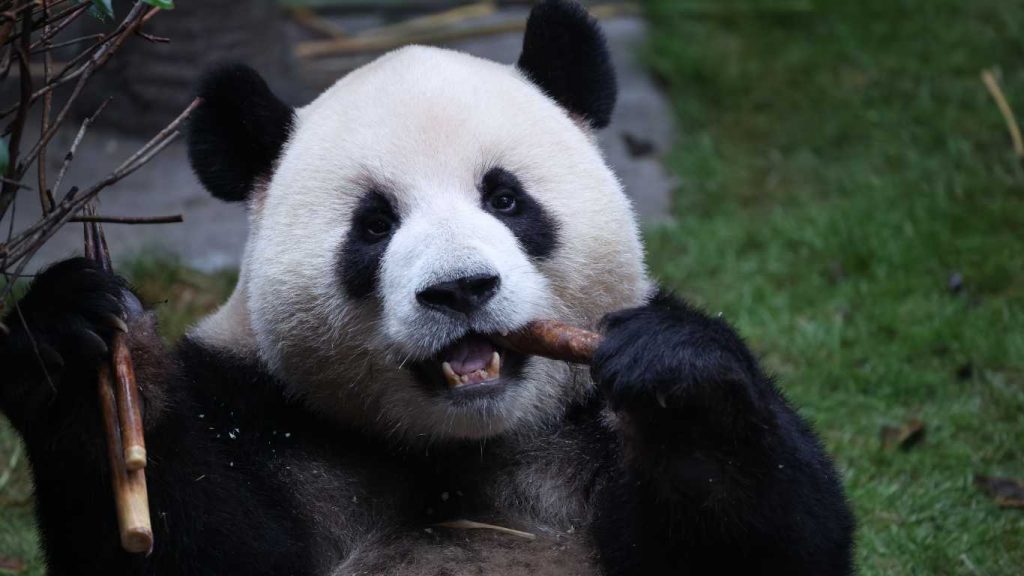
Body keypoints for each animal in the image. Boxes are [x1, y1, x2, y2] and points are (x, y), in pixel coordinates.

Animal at [0, 1, 854, 574]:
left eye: (505, 199)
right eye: (375, 226)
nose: (461, 290)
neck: (458, 444)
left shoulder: (584, 424)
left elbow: (775, 541)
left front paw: (676, 383)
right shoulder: (264, 413)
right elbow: (192, 547)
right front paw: (74, 342)